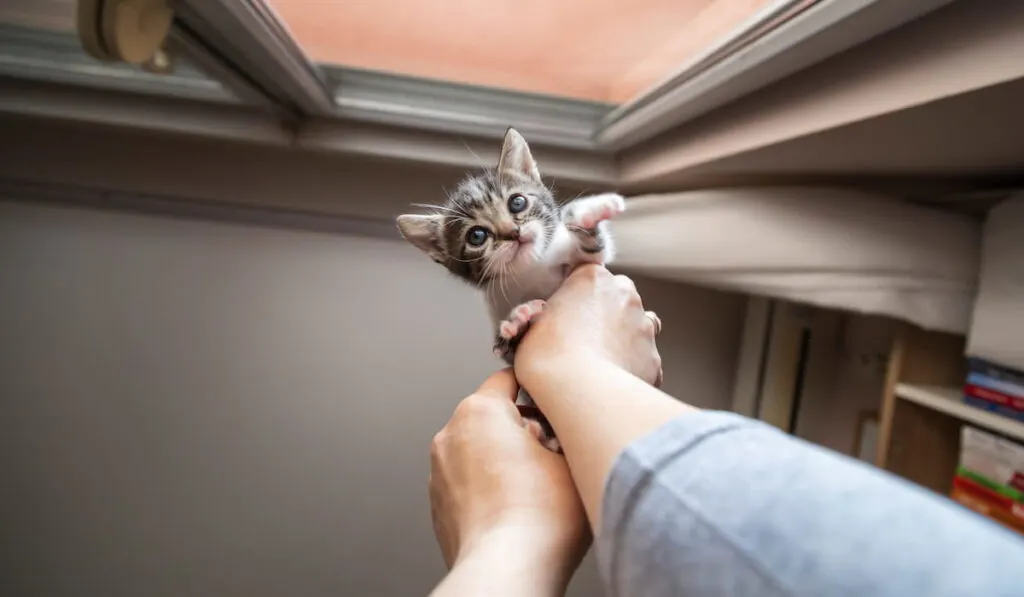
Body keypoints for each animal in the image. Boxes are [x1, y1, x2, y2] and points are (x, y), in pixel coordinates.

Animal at [397, 128, 622, 450]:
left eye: (517, 203)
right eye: (477, 236)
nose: (513, 233)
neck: (530, 272)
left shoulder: (586, 263)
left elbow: (592, 250)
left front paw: (587, 215)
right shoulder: (505, 343)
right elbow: (510, 349)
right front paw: (520, 318)